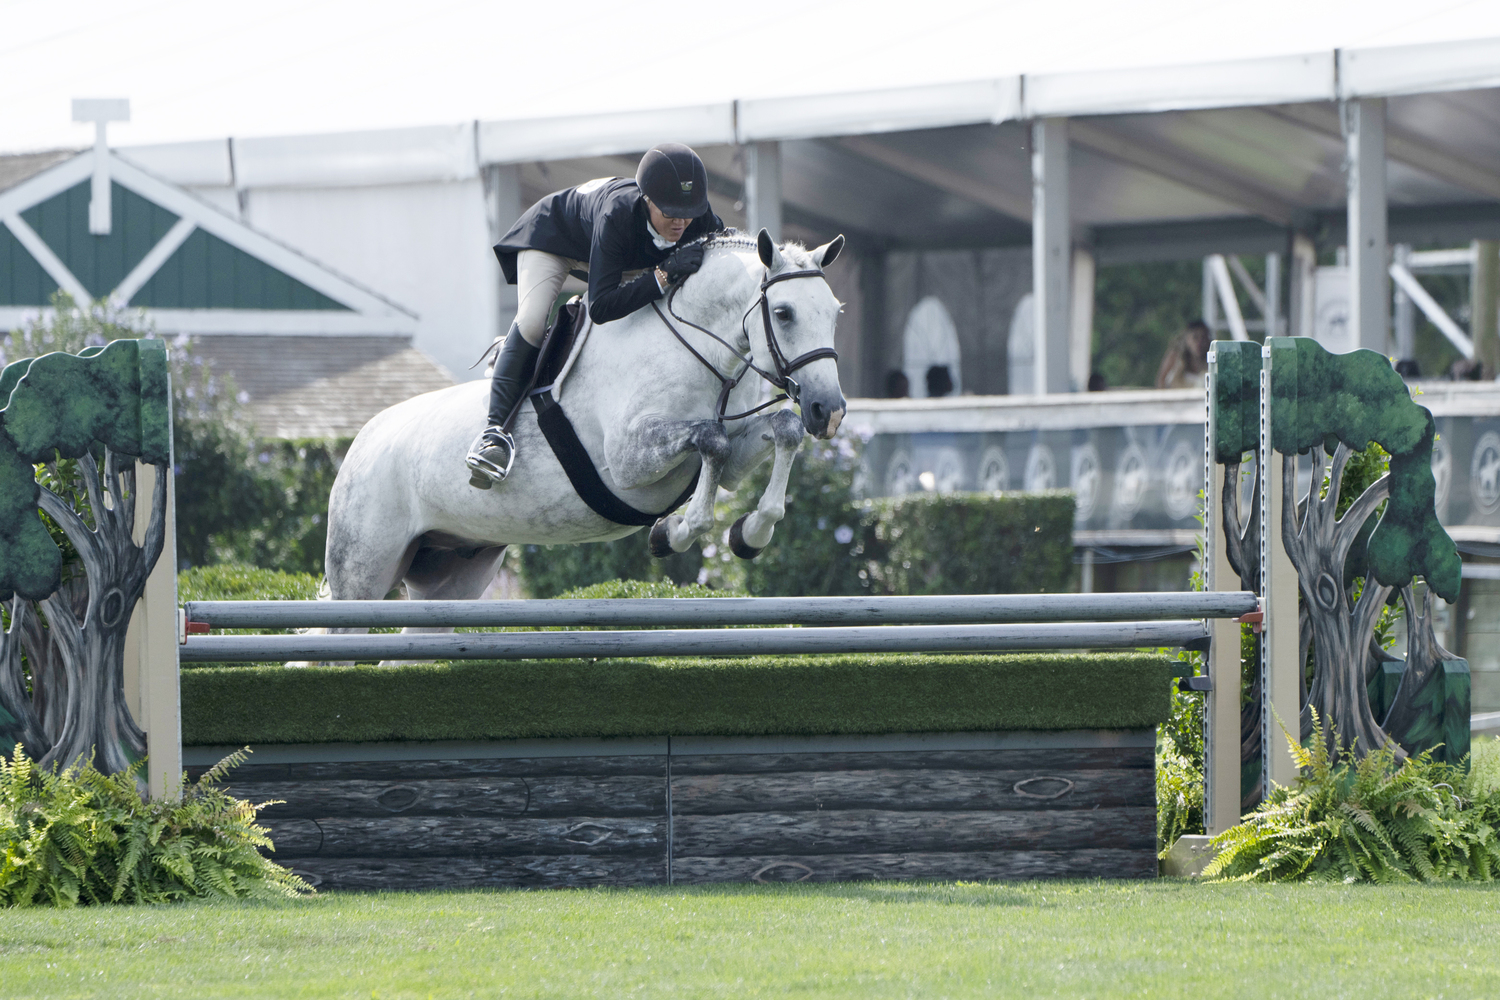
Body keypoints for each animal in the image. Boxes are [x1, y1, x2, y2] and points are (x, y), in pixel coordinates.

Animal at [319, 230, 846, 617]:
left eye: (835, 313)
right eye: (784, 313)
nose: (830, 410)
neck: (696, 346)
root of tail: (362, 440)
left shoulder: (735, 456)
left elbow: (781, 428)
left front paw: (751, 532)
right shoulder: (629, 460)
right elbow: (709, 441)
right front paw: (674, 531)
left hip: (451, 577)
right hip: (361, 573)